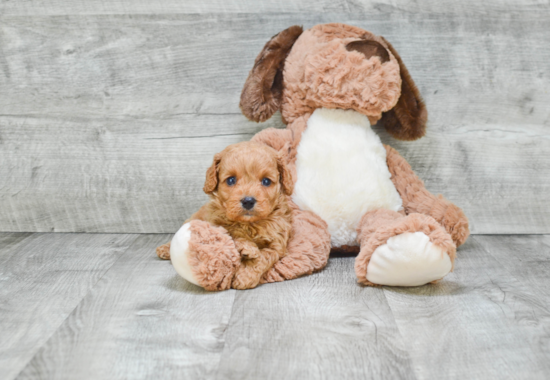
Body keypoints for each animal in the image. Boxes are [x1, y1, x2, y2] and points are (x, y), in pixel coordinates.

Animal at [188, 141, 296, 290]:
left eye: (266, 181)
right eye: (231, 180)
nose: (248, 201)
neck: (250, 223)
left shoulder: (277, 243)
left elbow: (264, 256)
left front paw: (244, 277)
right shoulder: (216, 223)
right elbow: (231, 233)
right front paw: (247, 247)